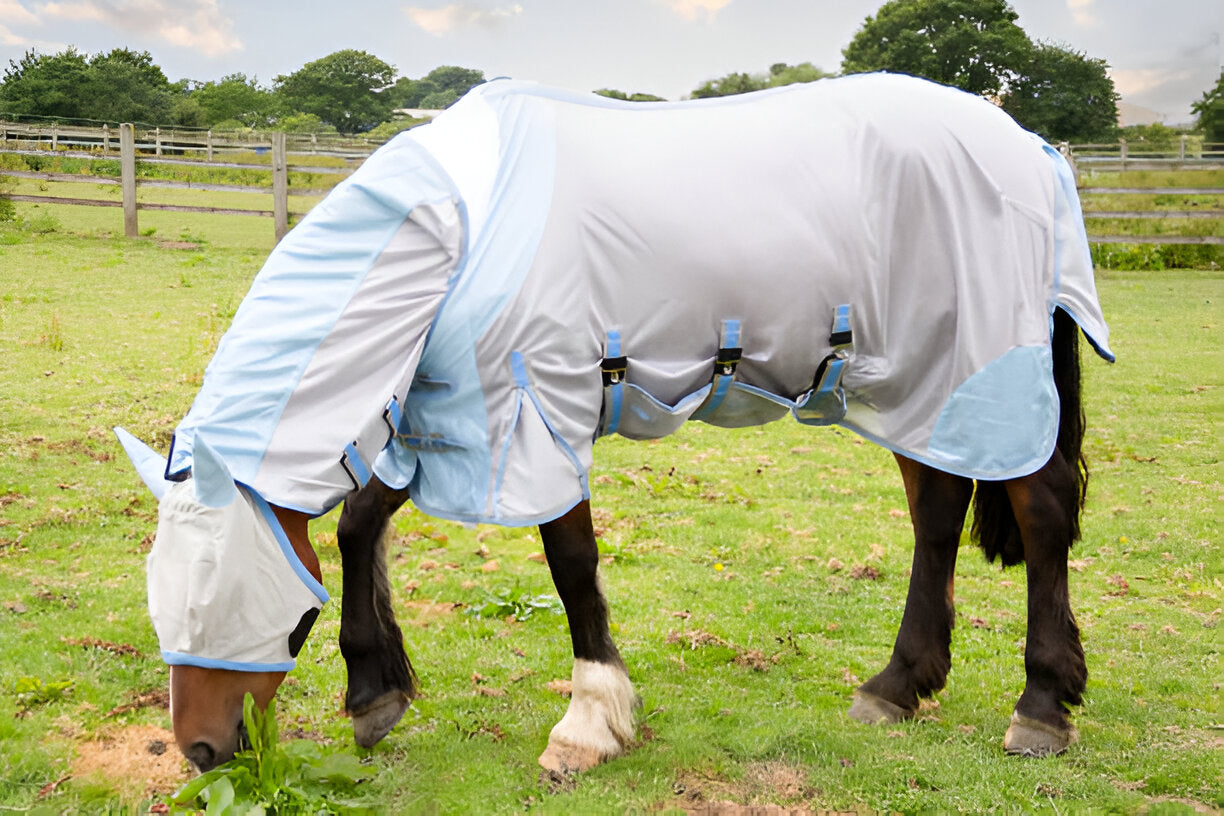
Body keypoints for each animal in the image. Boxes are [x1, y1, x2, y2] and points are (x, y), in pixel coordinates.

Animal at [116, 73, 1113, 774]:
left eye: (233, 597)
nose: (199, 750)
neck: (462, 235)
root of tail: (1031, 147)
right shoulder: (449, 416)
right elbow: (361, 526)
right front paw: (374, 694)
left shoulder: (535, 412)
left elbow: (570, 562)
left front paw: (589, 722)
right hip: (917, 386)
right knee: (939, 512)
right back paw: (899, 686)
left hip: (984, 369)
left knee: (1041, 512)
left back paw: (1040, 705)